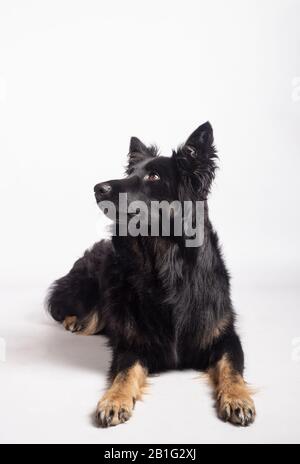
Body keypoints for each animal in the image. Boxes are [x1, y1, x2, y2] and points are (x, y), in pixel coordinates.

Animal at [47, 122, 255, 428]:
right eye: (129, 173)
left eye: (153, 176)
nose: (98, 188)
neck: (166, 263)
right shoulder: (131, 345)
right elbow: (124, 374)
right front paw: (114, 400)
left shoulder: (225, 337)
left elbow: (232, 368)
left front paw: (238, 398)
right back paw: (75, 320)